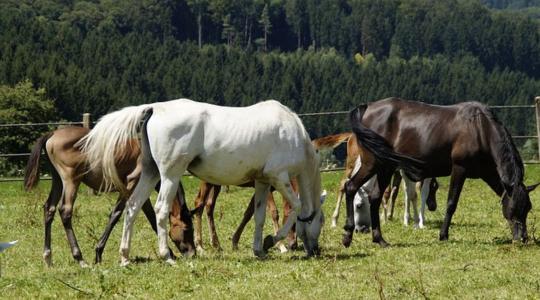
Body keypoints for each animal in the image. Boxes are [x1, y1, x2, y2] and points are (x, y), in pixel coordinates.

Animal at [24, 126, 196, 268]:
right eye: (187, 228)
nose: (192, 253)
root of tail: (52, 133)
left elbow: (151, 219)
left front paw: (170, 253)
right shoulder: (130, 185)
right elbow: (116, 215)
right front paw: (98, 252)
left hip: (58, 181)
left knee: (49, 209)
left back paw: (48, 257)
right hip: (71, 181)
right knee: (65, 211)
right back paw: (80, 258)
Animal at [79, 99, 324, 264]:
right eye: (320, 221)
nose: (316, 250)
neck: (293, 133)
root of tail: (154, 108)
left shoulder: (263, 182)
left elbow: (260, 216)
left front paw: (259, 249)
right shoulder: (279, 178)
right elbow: (297, 207)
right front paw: (272, 241)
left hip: (151, 173)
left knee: (132, 207)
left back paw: (125, 257)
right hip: (170, 175)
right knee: (161, 209)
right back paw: (167, 256)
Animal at [344, 97, 536, 247]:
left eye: (528, 208)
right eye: (513, 208)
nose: (523, 238)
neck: (480, 128)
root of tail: (367, 107)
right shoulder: (459, 169)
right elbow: (451, 203)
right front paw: (443, 235)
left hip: (386, 167)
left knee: (374, 197)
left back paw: (379, 239)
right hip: (372, 164)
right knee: (351, 187)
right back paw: (348, 235)